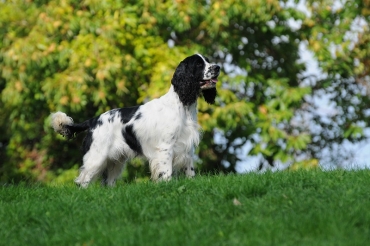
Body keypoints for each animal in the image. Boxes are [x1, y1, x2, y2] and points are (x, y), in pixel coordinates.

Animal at [50, 53, 221, 187]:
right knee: (82, 181)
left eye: (207, 60)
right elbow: (166, 173)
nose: (218, 67)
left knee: (107, 182)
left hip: (115, 161)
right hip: (96, 157)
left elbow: (190, 171)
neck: (182, 106)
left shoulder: (187, 147)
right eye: (199, 64)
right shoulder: (166, 148)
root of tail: (93, 120)